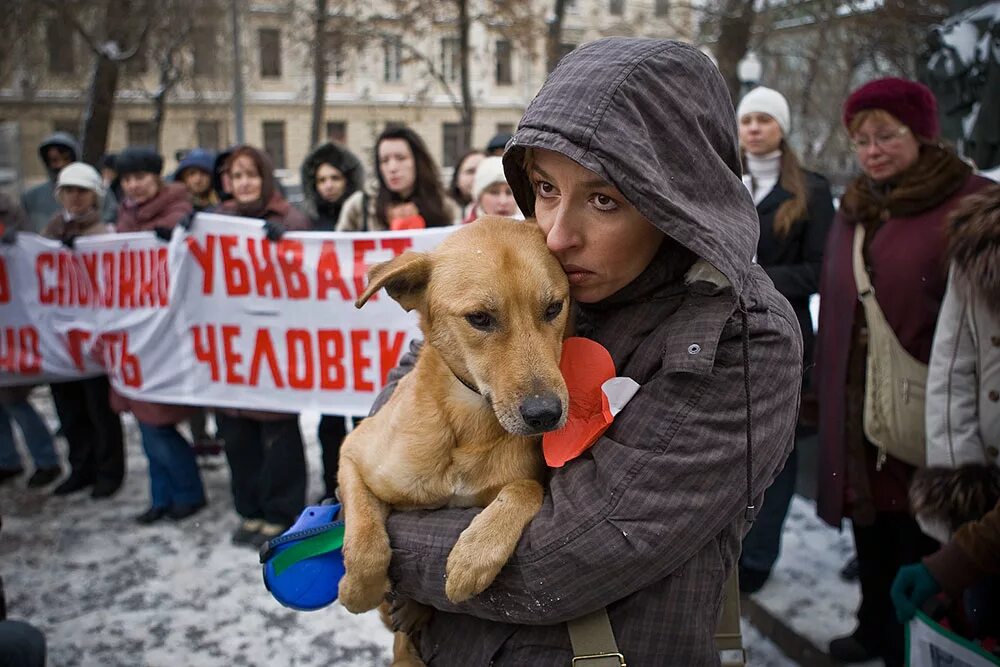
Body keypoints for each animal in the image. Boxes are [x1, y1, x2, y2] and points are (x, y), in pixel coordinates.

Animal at [336, 218, 572, 656]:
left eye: (553, 308)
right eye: (479, 318)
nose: (545, 415)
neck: (467, 425)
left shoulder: (521, 481)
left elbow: (525, 488)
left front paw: (472, 557)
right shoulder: (353, 455)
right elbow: (365, 539)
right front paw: (359, 590)